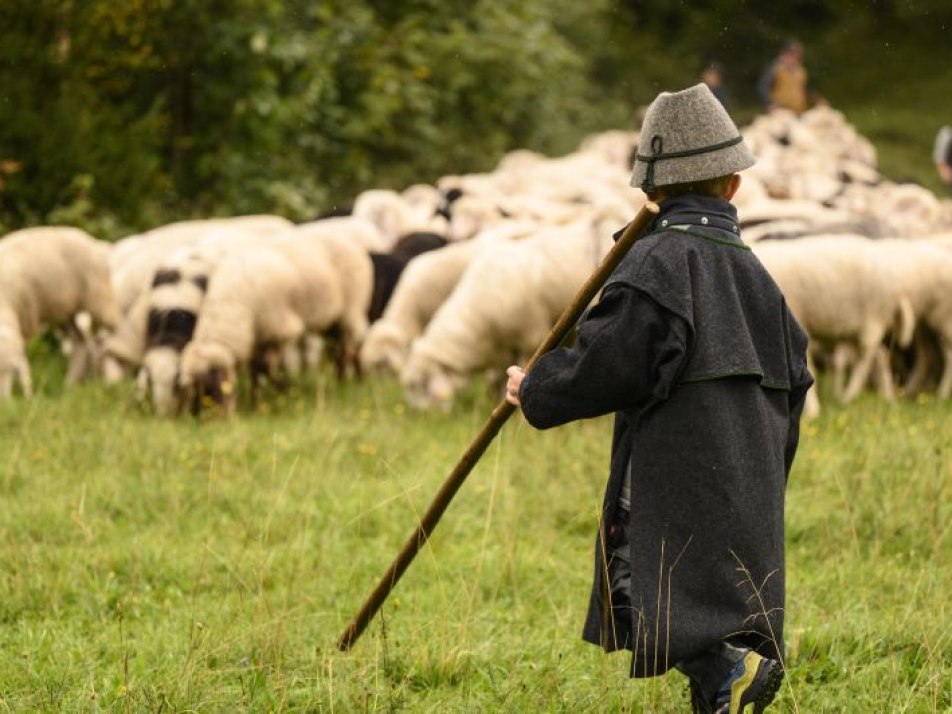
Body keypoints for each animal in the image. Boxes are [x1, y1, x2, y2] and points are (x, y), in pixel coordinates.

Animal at [0, 227, 121, 398]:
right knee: (81, 344)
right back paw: (69, 386)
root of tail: (95, 242)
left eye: (11, 371)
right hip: (65, 314)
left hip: (100, 300)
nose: (4, 401)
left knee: (116, 332)